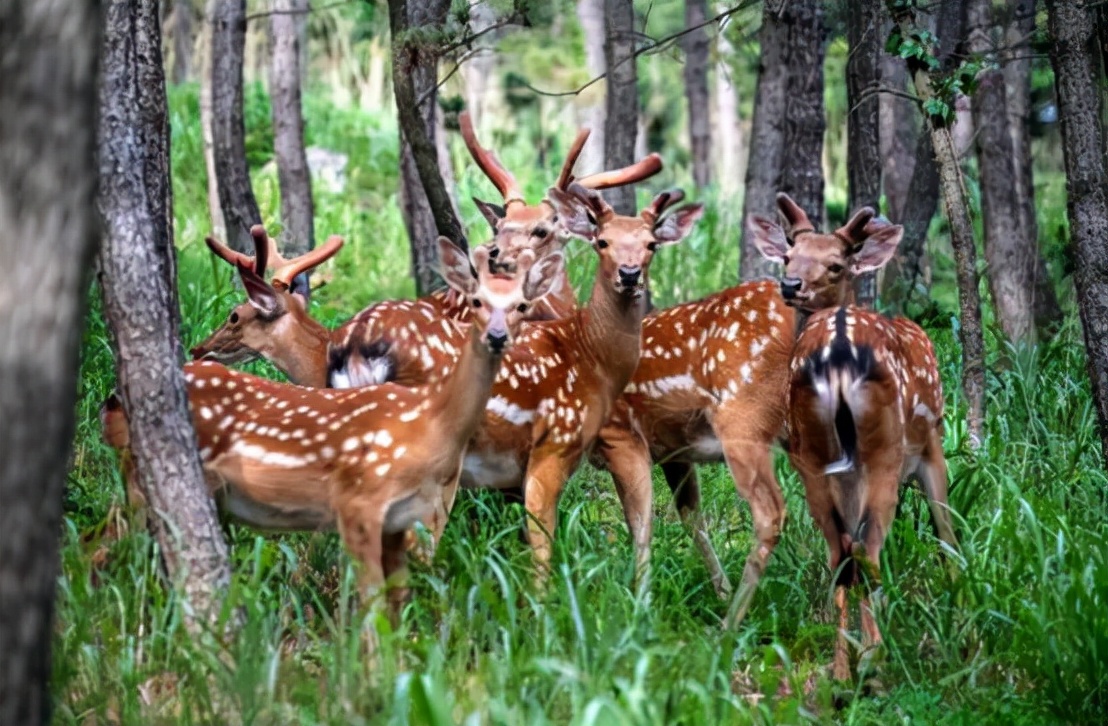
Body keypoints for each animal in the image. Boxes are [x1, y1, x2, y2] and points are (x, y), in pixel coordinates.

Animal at [749, 192, 957, 682]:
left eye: (835, 264)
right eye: (788, 256)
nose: (790, 284)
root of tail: (840, 348)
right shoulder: (932, 445)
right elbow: (947, 537)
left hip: (810, 453)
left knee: (840, 553)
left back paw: (842, 669)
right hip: (884, 450)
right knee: (867, 549)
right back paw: (874, 661)